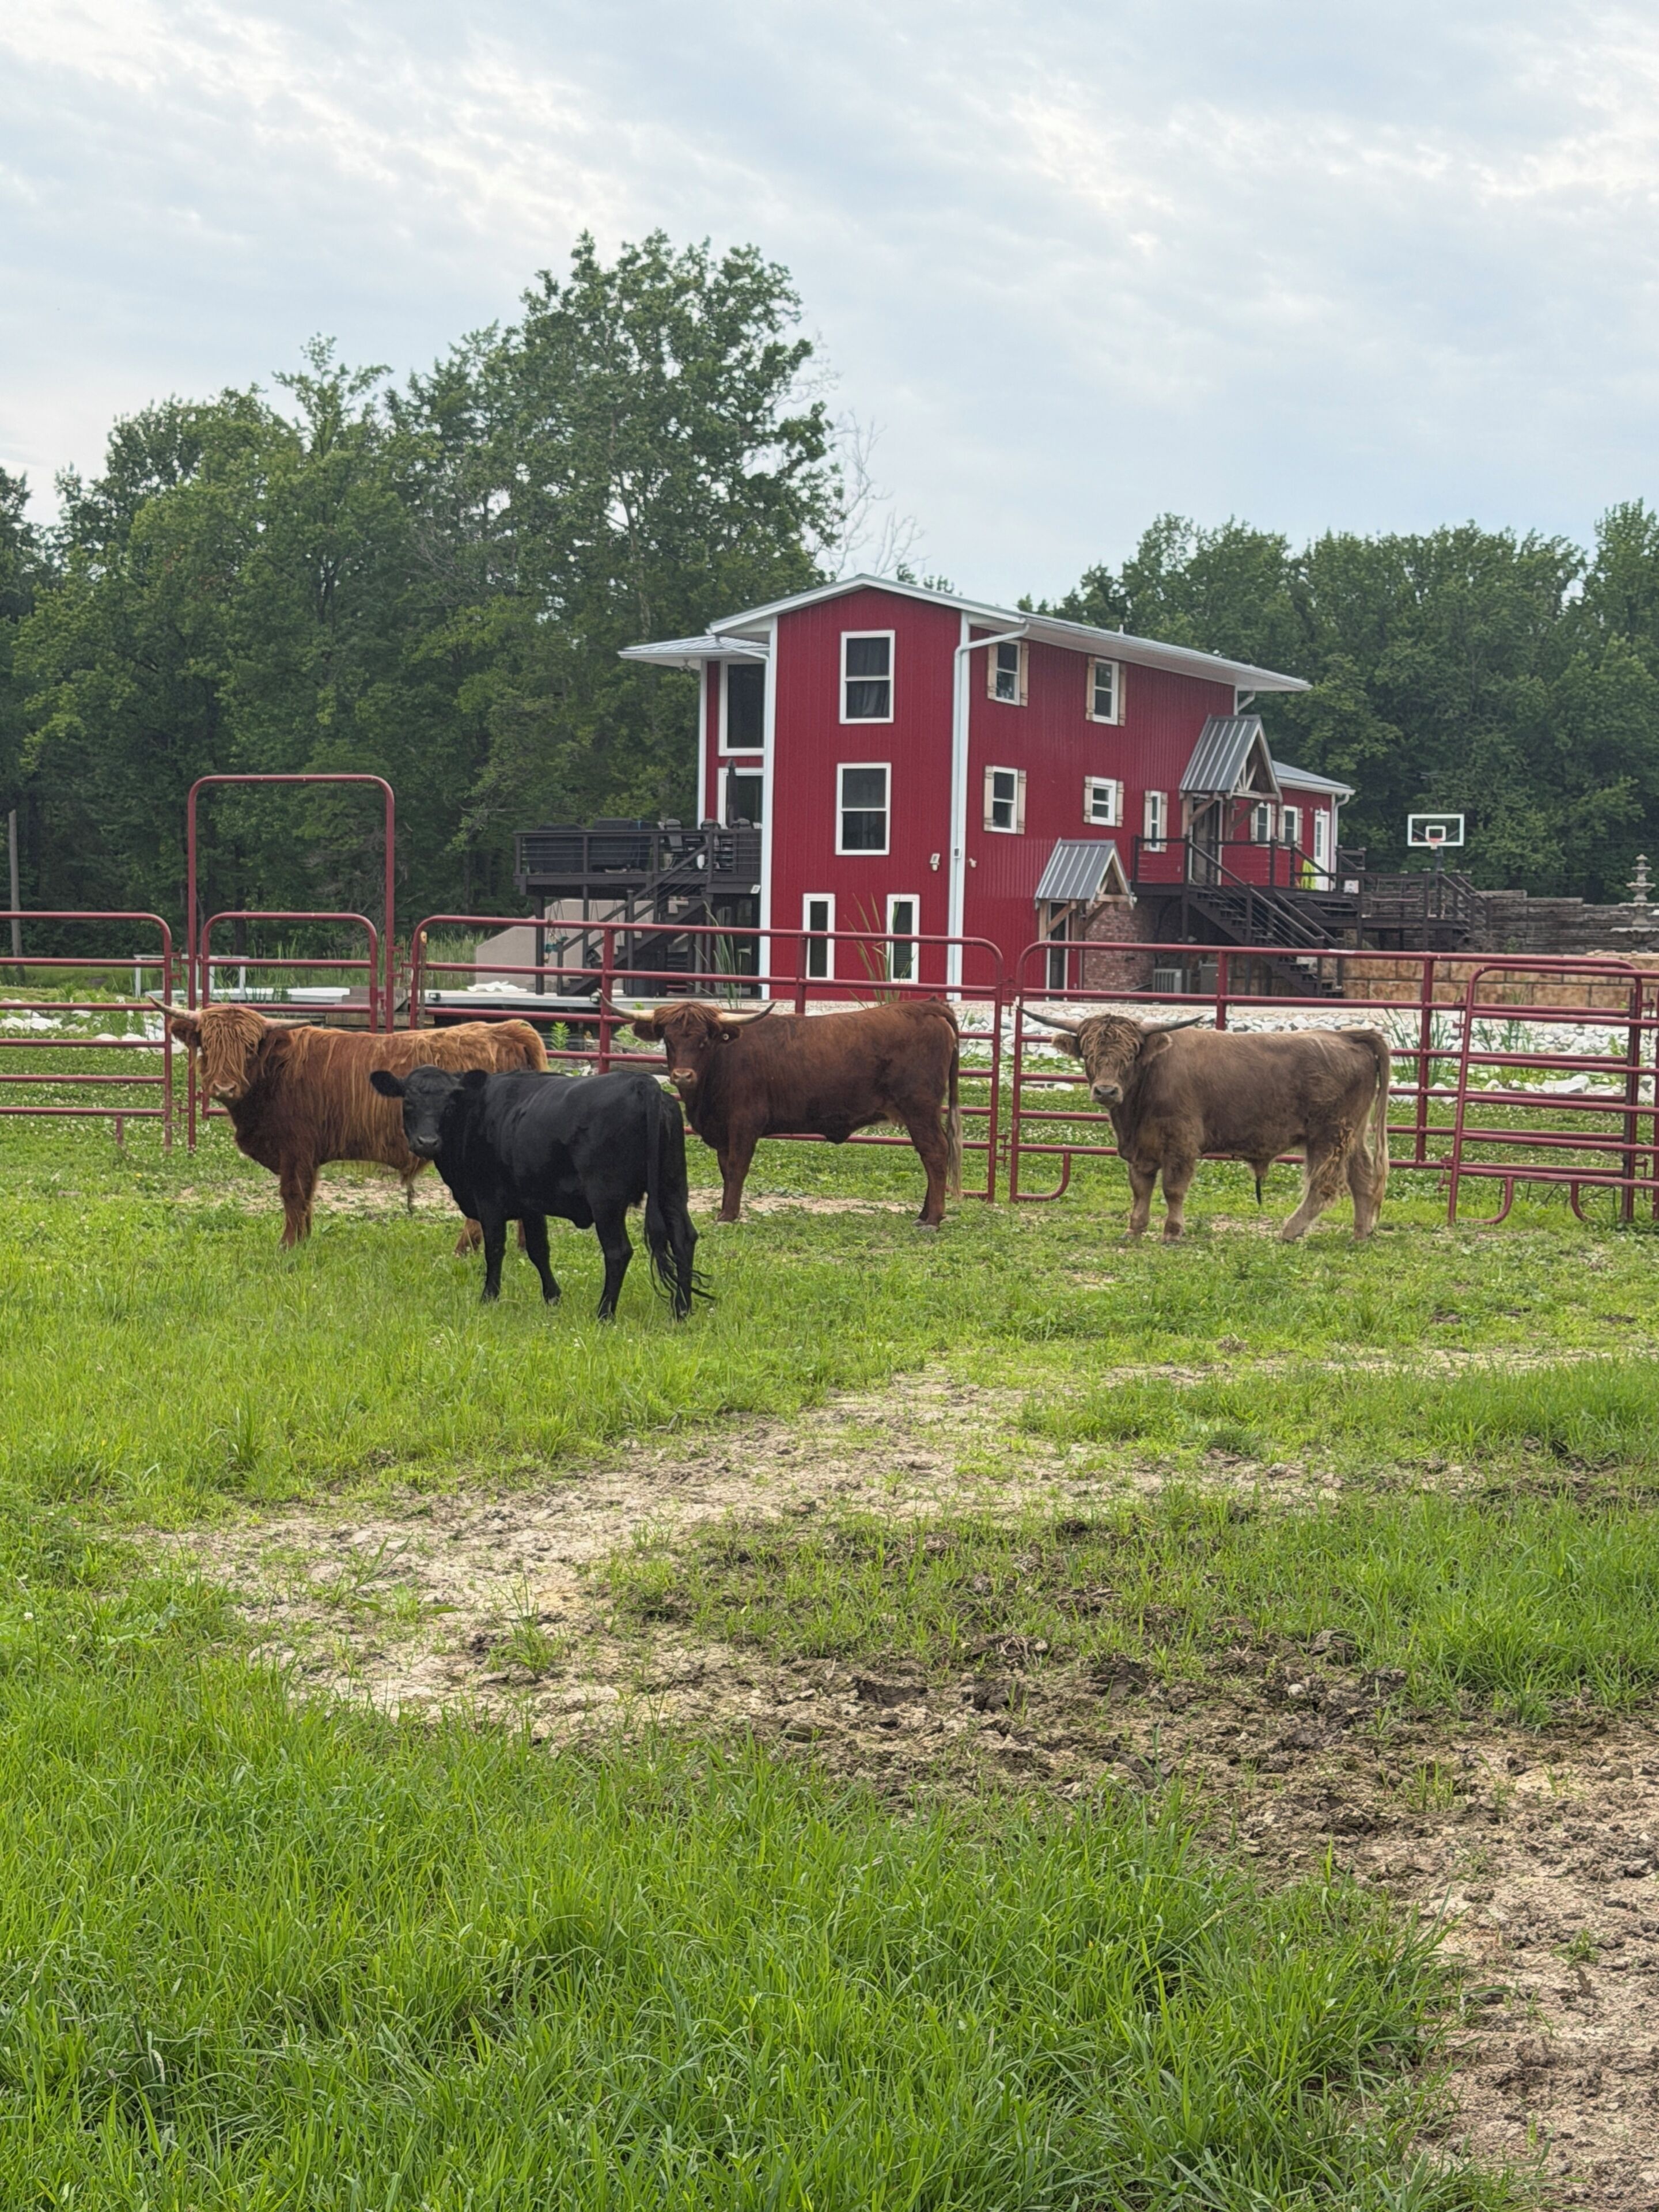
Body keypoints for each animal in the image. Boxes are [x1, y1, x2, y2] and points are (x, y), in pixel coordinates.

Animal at [153, 1001, 547, 1249]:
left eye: (250, 1047)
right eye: (207, 1044)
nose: (224, 1087)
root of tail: (506, 1030)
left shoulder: (295, 1148)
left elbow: (292, 1196)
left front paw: (287, 1246)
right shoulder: (307, 1156)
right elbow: (307, 1198)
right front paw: (303, 1241)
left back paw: (464, 1249)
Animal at [368, 1065, 701, 1319]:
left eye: (449, 1106)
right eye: (408, 1104)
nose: (427, 1142)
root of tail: (642, 1082)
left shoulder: (489, 1199)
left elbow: (495, 1249)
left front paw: (489, 1297)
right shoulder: (530, 1205)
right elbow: (539, 1250)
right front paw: (553, 1297)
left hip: (606, 1198)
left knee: (618, 1251)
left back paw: (604, 1313)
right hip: (673, 1188)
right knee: (684, 1238)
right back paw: (682, 1310)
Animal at [621, 997, 962, 1227]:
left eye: (704, 1040)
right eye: (668, 1040)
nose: (682, 1076)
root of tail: (924, 1006)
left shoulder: (744, 1124)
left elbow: (737, 1168)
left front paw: (729, 1215)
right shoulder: (723, 1133)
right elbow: (725, 1170)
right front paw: (725, 1210)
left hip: (919, 1109)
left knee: (935, 1153)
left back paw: (932, 1219)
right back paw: (925, 1214)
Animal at [1024, 1009, 1391, 1242]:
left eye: (1131, 1055)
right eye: (1088, 1054)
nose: (1105, 1091)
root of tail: (1350, 1037)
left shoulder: (1181, 1144)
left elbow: (1173, 1189)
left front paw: (1172, 1232)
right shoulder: (1141, 1149)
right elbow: (1141, 1189)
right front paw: (1134, 1230)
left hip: (1329, 1135)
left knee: (1324, 1185)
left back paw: (1290, 1231)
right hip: (1352, 1135)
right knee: (1362, 1177)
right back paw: (1360, 1235)